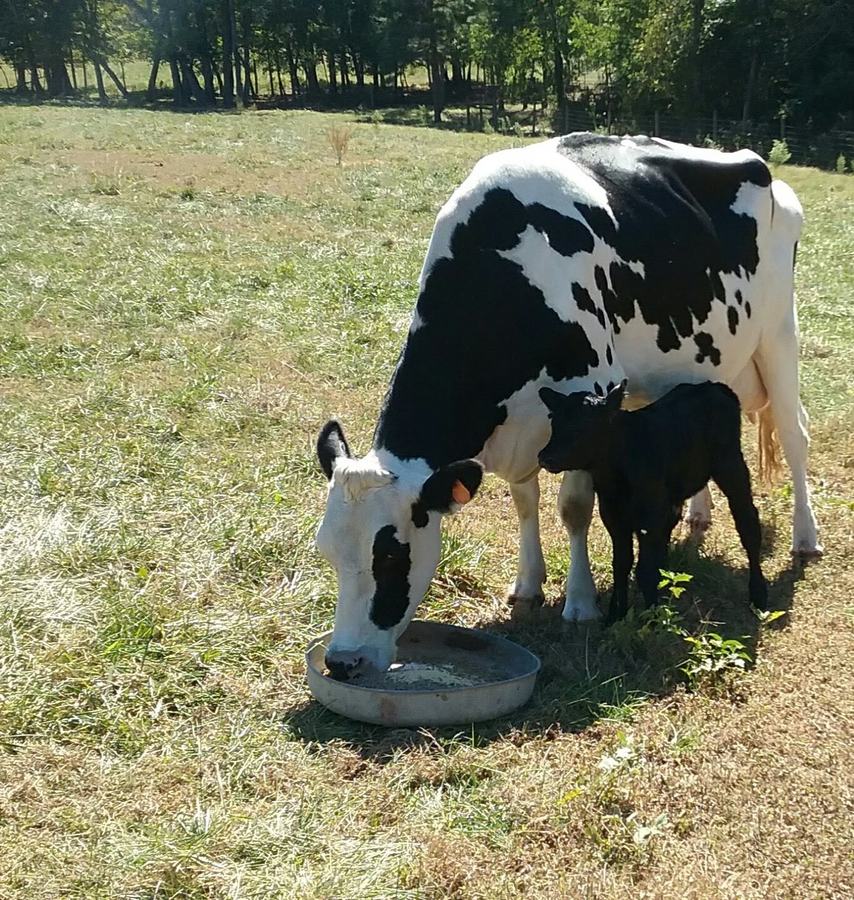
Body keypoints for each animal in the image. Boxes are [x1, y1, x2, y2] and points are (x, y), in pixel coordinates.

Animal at [538, 381, 768, 622]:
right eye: (554, 421)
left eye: (584, 425)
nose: (545, 457)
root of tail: (714, 386)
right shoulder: (612, 513)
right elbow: (621, 563)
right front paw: (616, 615)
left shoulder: (649, 515)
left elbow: (644, 569)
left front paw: (652, 616)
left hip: (731, 466)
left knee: (748, 522)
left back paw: (758, 594)